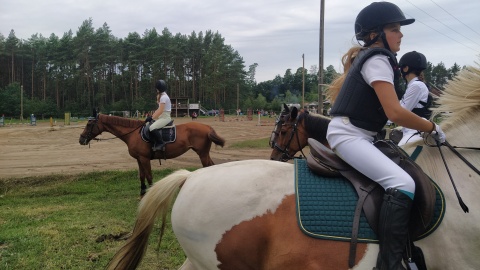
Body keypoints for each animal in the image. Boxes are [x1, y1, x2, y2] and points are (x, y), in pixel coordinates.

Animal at [79, 113, 226, 195]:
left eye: (89, 124)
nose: (81, 139)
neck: (134, 133)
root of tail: (208, 127)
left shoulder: (144, 159)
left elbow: (149, 176)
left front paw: (149, 192)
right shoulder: (139, 159)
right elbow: (142, 176)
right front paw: (142, 191)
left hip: (202, 154)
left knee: (208, 167)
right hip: (204, 153)